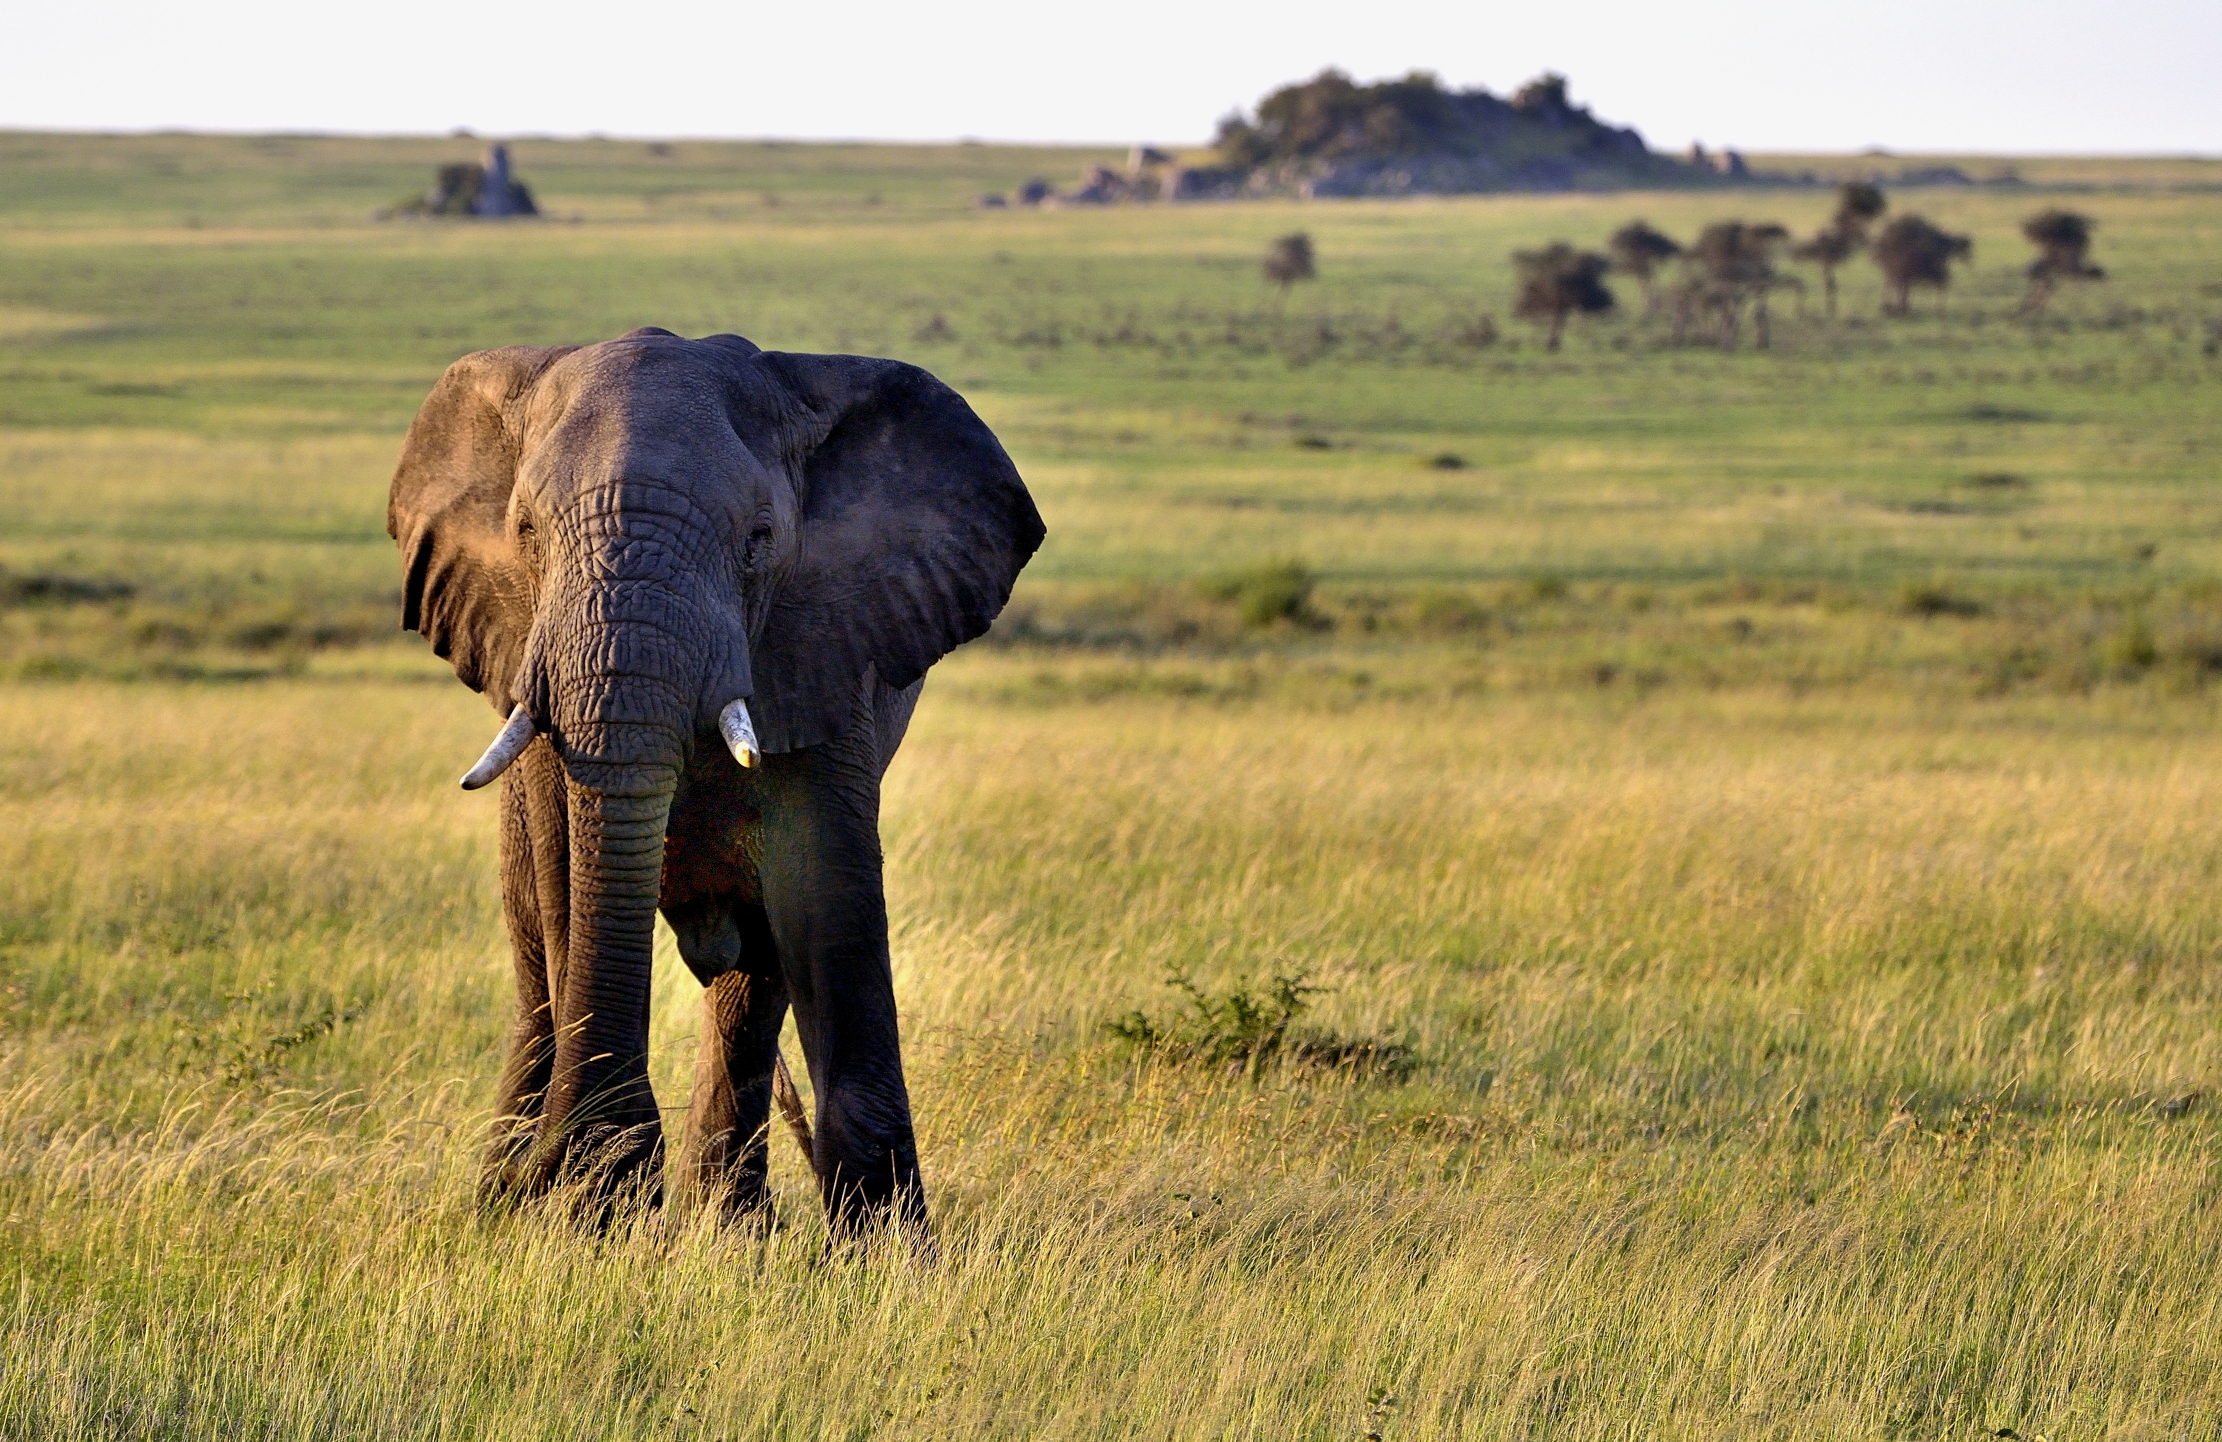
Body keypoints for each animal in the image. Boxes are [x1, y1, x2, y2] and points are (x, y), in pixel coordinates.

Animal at [386, 327, 1043, 1235]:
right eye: (526, 531)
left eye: (758, 538)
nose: (596, 1170)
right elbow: (570, 882)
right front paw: (591, 1199)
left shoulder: (828, 646)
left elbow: (825, 894)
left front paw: (886, 1246)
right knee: (536, 972)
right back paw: (509, 1202)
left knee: (752, 977)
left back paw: (728, 1225)